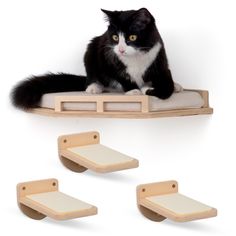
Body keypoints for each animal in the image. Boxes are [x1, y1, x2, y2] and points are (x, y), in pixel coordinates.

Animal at [11, 8, 182, 109]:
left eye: (132, 37)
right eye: (115, 37)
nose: (120, 49)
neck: (135, 57)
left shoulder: (158, 57)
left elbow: (166, 82)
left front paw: (152, 88)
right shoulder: (107, 57)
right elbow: (120, 75)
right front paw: (135, 90)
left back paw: (177, 86)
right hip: (91, 50)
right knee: (92, 75)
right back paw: (94, 87)